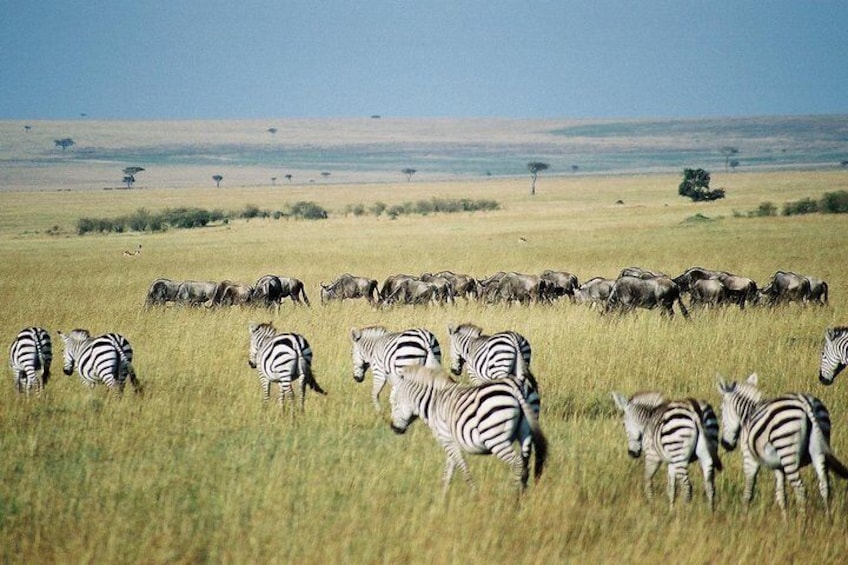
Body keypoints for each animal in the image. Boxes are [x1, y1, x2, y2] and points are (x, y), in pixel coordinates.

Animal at [388, 364, 548, 496]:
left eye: (394, 402)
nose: (393, 428)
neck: (434, 402)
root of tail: (514, 385)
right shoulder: (452, 442)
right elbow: (449, 470)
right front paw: (443, 497)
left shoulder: (447, 440)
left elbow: (462, 467)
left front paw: (473, 493)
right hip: (526, 432)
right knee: (525, 464)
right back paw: (522, 496)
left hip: (495, 438)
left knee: (517, 463)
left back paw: (514, 497)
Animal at [716, 372, 848, 516]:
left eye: (721, 410)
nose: (725, 444)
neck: (748, 414)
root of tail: (805, 403)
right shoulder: (778, 466)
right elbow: (781, 495)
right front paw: (785, 519)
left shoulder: (749, 457)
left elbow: (748, 490)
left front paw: (744, 516)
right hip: (819, 450)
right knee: (824, 486)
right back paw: (827, 518)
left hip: (787, 450)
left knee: (800, 489)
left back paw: (802, 520)